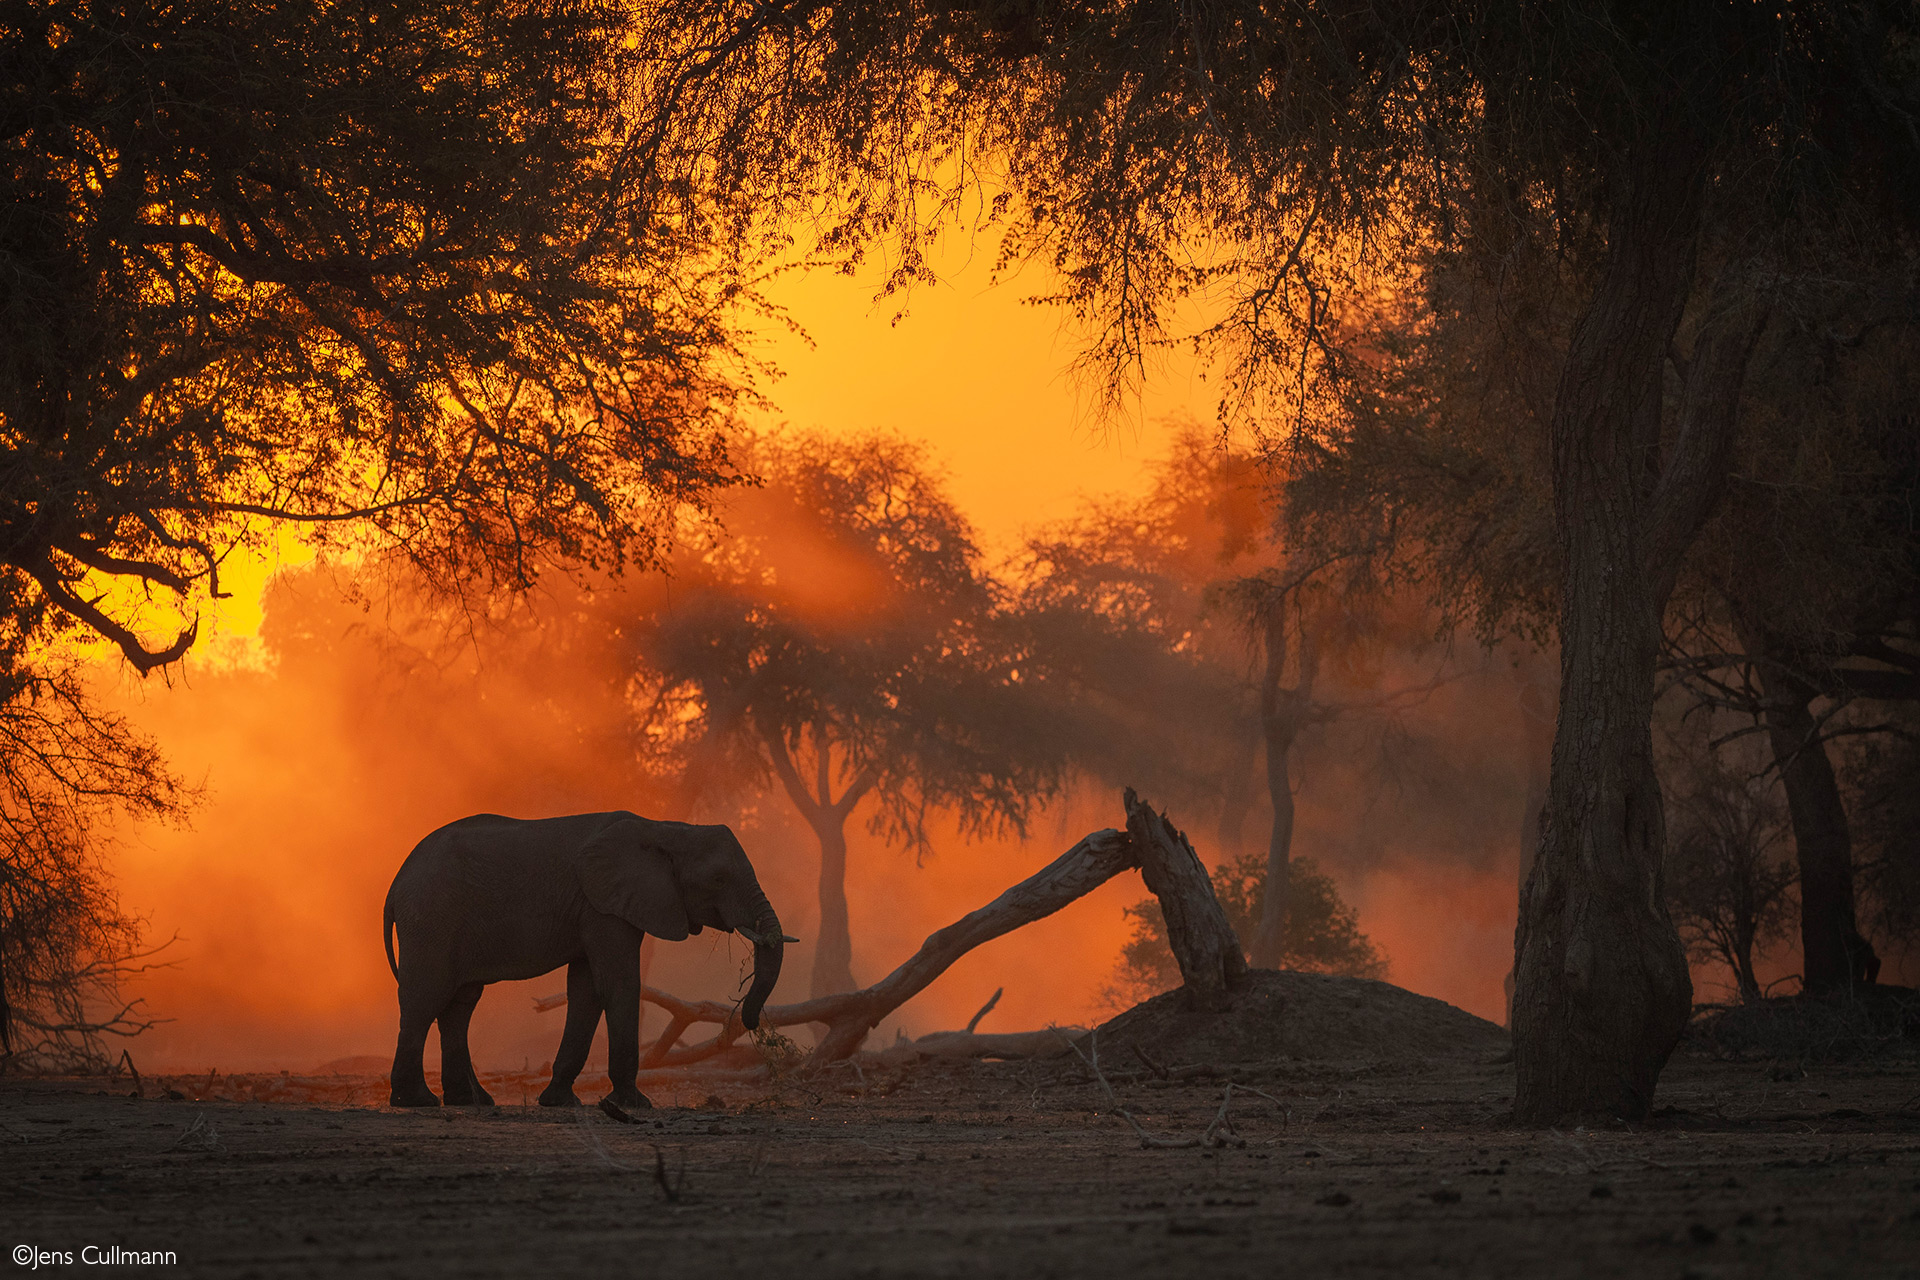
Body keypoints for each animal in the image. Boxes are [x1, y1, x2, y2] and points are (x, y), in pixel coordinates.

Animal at [382, 817, 787, 1105]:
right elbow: (619, 985)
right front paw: (634, 1104)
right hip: (431, 918)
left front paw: (560, 1102)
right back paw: (415, 1101)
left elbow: (586, 992)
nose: (750, 1024)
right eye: (718, 879)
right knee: (424, 999)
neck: (667, 828)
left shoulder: (598, 907)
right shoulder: (604, 907)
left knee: (459, 1006)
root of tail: (397, 879)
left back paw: (471, 1101)